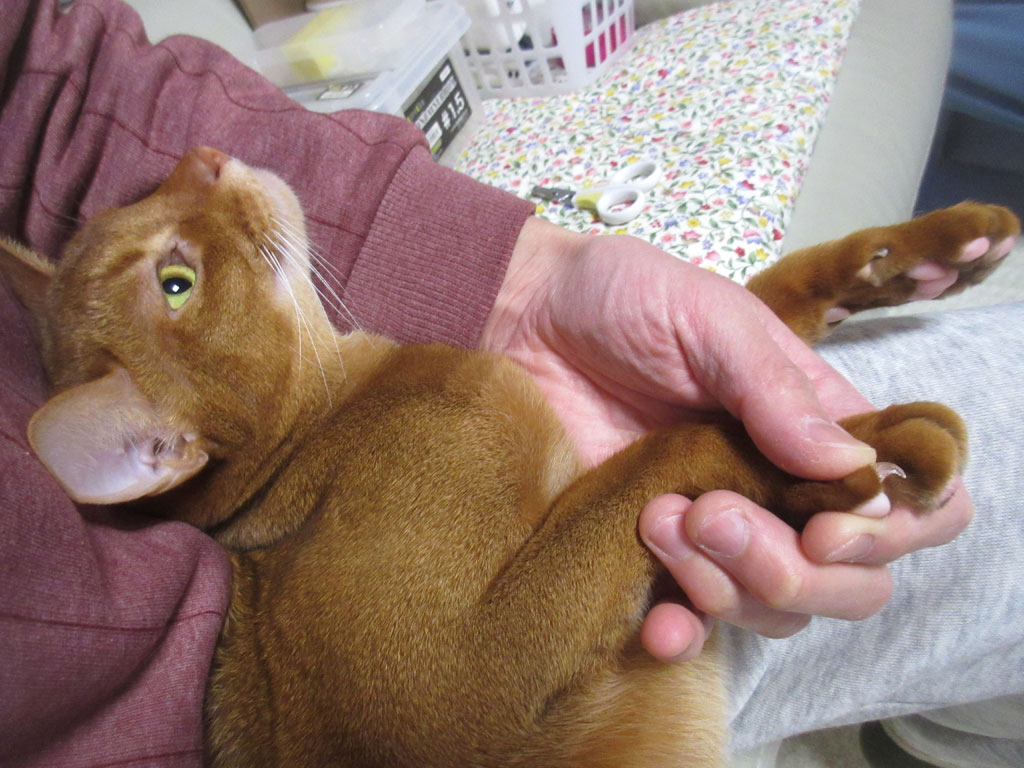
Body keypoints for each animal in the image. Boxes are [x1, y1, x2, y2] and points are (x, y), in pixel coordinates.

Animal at [0, 146, 1018, 767]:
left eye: (144, 192)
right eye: (176, 282)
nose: (203, 156)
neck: (340, 413)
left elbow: (765, 298)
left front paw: (915, 254)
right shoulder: (470, 681)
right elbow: (678, 443)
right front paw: (848, 454)